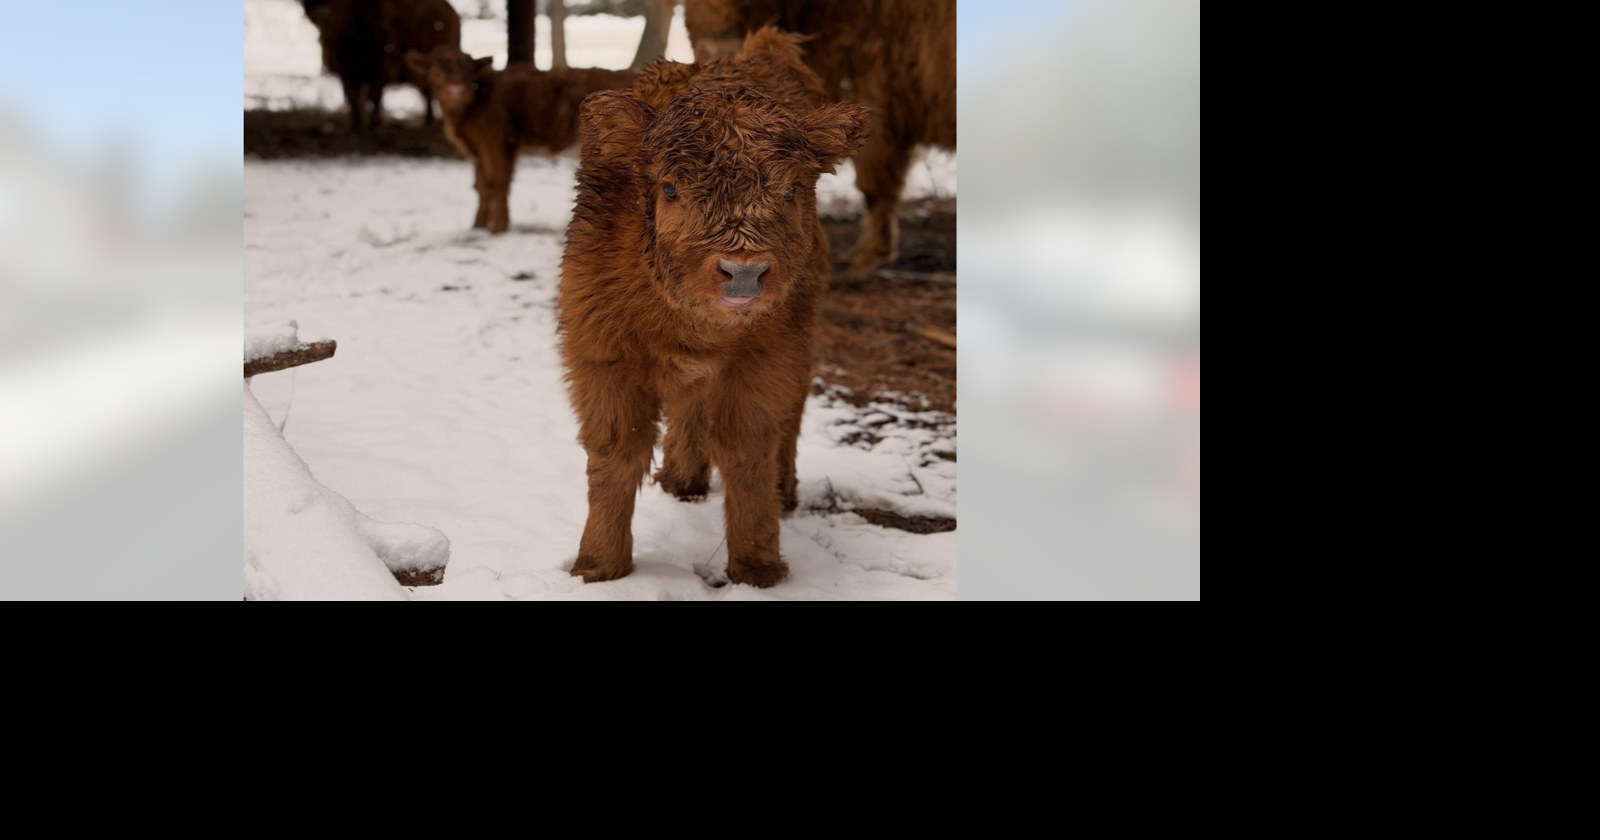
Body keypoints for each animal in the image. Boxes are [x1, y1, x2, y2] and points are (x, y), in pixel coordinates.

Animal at [302, 0, 460, 131]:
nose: (322, 14)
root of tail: (452, 12)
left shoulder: (380, 65)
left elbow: (374, 96)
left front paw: (375, 124)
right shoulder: (346, 70)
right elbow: (352, 95)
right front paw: (356, 125)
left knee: (430, 92)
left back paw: (430, 122)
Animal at [406, 47, 636, 233]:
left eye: (469, 73)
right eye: (436, 71)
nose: (456, 92)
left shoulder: (498, 143)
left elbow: (498, 182)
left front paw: (497, 229)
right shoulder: (478, 150)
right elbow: (482, 185)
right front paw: (478, 227)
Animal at [557, 28, 869, 587]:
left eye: (791, 189)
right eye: (670, 187)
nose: (743, 272)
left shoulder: (769, 357)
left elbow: (748, 450)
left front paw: (757, 566)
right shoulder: (601, 355)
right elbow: (616, 453)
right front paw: (598, 565)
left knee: (789, 417)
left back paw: (783, 490)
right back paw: (682, 477)